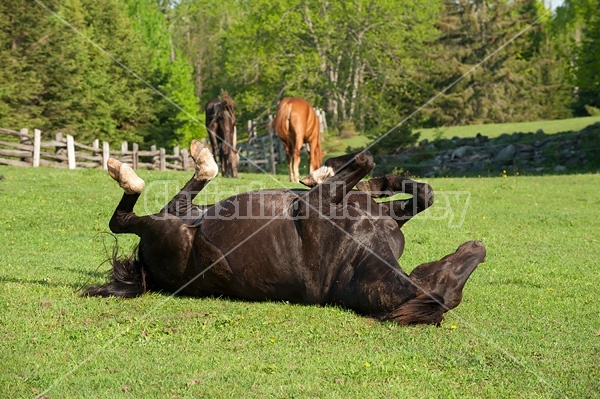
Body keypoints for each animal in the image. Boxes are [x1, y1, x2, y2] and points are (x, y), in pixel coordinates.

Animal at [85, 142, 488, 326]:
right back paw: (203, 159)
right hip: (186, 216)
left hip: (168, 232)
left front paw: (321, 172)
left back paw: (126, 170)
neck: (359, 255)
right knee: (177, 201)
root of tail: (144, 270)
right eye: (458, 271)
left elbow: (365, 161)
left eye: (451, 281)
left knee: (124, 220)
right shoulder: (386, 214)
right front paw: (350, 179)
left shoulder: (317, 205)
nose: (478, 246)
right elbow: (421, 191)